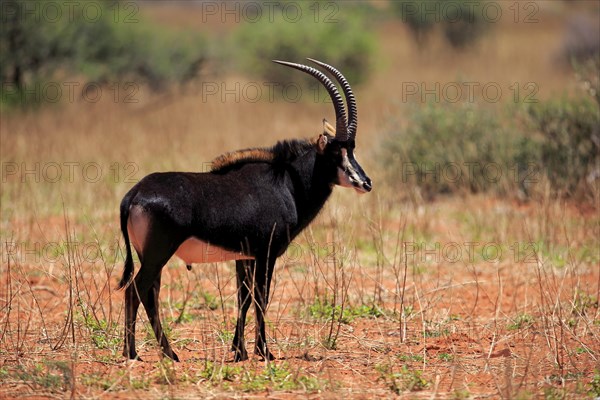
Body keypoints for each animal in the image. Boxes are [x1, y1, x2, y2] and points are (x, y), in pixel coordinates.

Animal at [117, 58, 370, 362]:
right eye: (336, 152)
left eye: (352, 149)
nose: (365, 183)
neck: (286, 183)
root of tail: (134, 194)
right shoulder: (266, 254)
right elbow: (261, 297)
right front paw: (264, 351)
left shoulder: (244, 257)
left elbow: (244, 298)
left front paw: (240, 351)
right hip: (158, 253)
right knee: (137, 290)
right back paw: (149, 353)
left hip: (148, 255)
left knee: (146, 293)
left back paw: (150, 352)